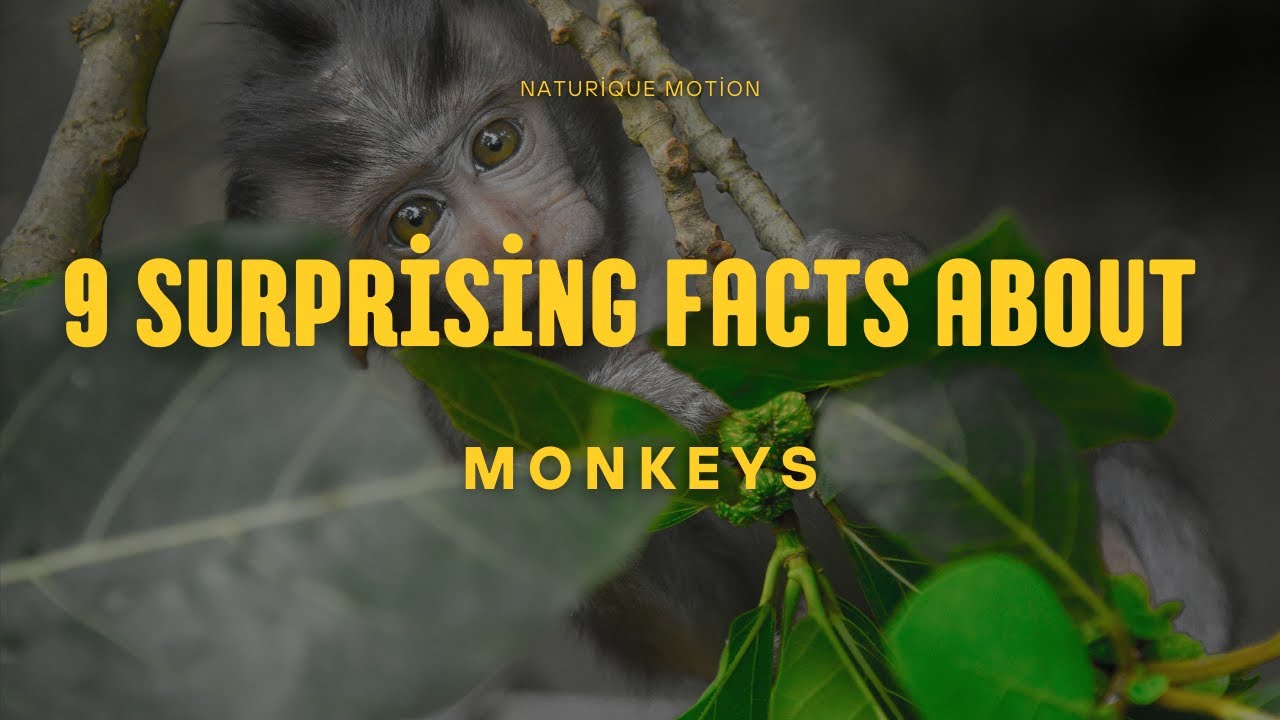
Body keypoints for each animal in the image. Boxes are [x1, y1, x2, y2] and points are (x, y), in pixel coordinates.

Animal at [221, 0, 1232, 711]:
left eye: (496, 144)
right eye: (413, 224)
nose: (510, 243)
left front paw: (881, 280)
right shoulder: (454, 405)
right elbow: (709, 633)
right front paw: (642, 411)